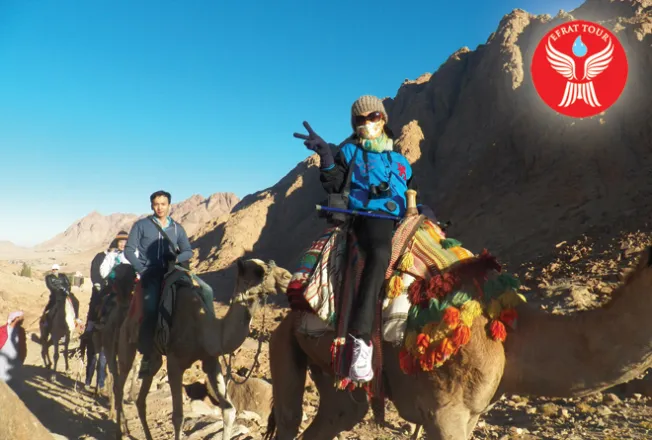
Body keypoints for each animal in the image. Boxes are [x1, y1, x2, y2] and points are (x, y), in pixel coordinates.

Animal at [111, 258, 292, 440]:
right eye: (258, 271)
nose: (287, 276)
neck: (204, 330)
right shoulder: (175, 364)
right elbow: (178, 417)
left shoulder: (211, 361)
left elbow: (229, 410)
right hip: (127, 341)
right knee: (120, 384)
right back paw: (118, 432)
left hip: (154, 357)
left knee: (141, 397)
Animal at [264, 244, 652, 440]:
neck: (510, 336)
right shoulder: (444, 409)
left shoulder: (474, 412)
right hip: (281, 342)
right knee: (289, 418)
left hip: (335, 373)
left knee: (338, 415)